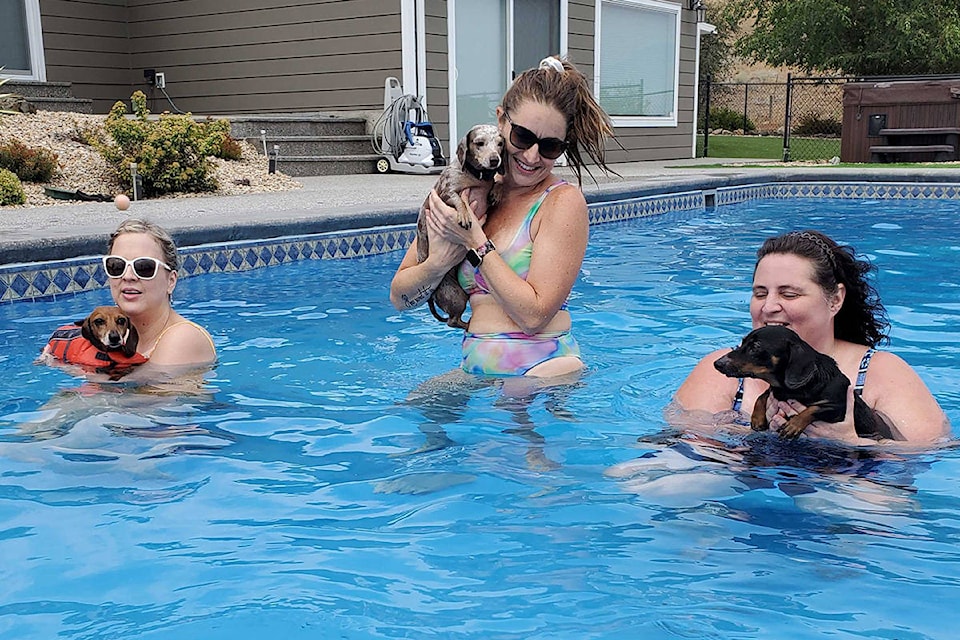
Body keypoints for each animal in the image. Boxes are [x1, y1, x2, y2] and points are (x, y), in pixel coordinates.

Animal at [420, 124, 510, 330]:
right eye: (479, 143)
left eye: (500, 143)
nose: (495, 160)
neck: (475, 176)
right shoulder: (446, 191)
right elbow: (458, 199)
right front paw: (464, 214)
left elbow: (498, 183)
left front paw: (496, 192)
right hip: (455, 295)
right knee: (452, 321)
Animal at [712, 324, 892, 440]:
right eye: (743, 342)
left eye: (755, 346)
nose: (717, 363)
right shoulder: (775, 390)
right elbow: (763, 395)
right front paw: (757, 419)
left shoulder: (837, 407)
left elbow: (814, 408)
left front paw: (794, 425)